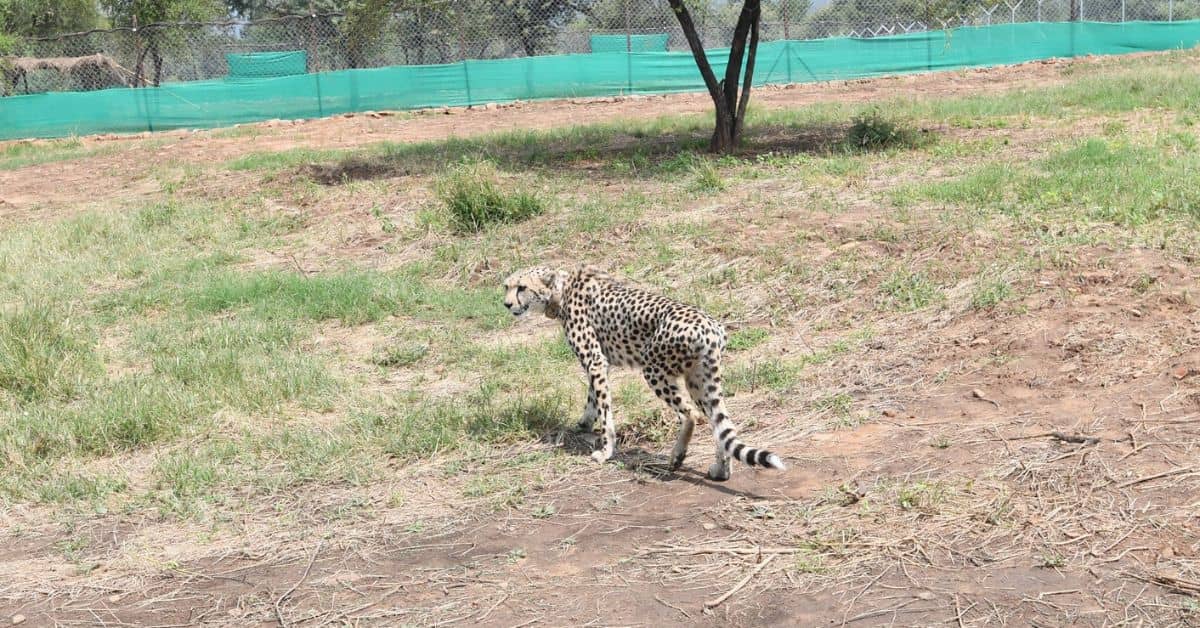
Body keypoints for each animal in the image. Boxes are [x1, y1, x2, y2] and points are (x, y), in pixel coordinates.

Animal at [499, 265, 787, 482]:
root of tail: (711, 327)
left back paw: (677, 456)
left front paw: (606, 450)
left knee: (691, 415)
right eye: (506, 286)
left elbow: (605, 410)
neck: (560, 289)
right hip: (698, 379)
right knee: (721, 425)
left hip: (654, 369)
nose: (507, 304)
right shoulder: (599, 363)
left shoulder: (595, 360)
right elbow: (593, 398)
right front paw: (583, 423)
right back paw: (720, 470)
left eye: (522, 287)